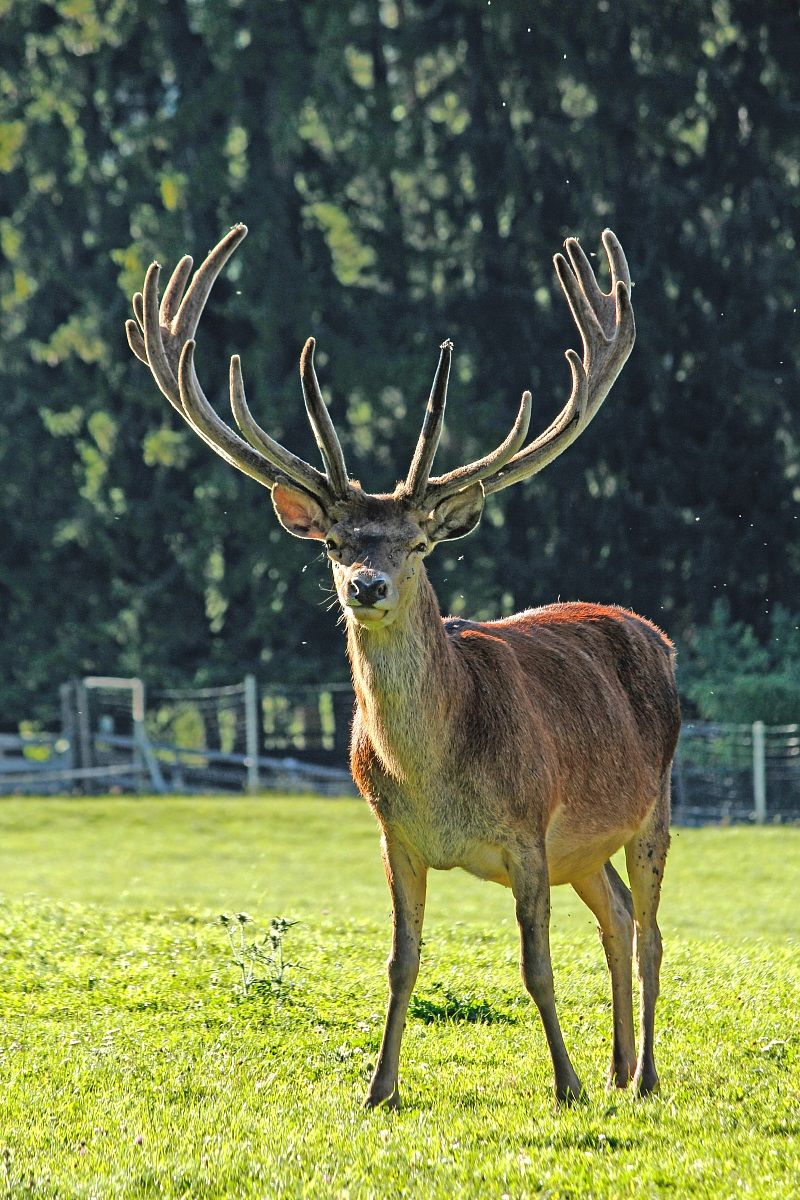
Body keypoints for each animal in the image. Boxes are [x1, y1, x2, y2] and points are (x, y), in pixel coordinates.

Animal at [125, 223, 680, 1110]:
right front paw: (379, 1088)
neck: (435, 779)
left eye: (418, 543)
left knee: (653, 930)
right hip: (583, 849)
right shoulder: (395, 836)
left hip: (651, 803)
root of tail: (656, 635)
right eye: (333, 541)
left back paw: (645, 1077)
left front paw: (563, 1085)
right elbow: (399, 963)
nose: (367, 584)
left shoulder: (529, 830)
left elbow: (535, 966)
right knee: (619, 916)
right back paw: (618, 1067)